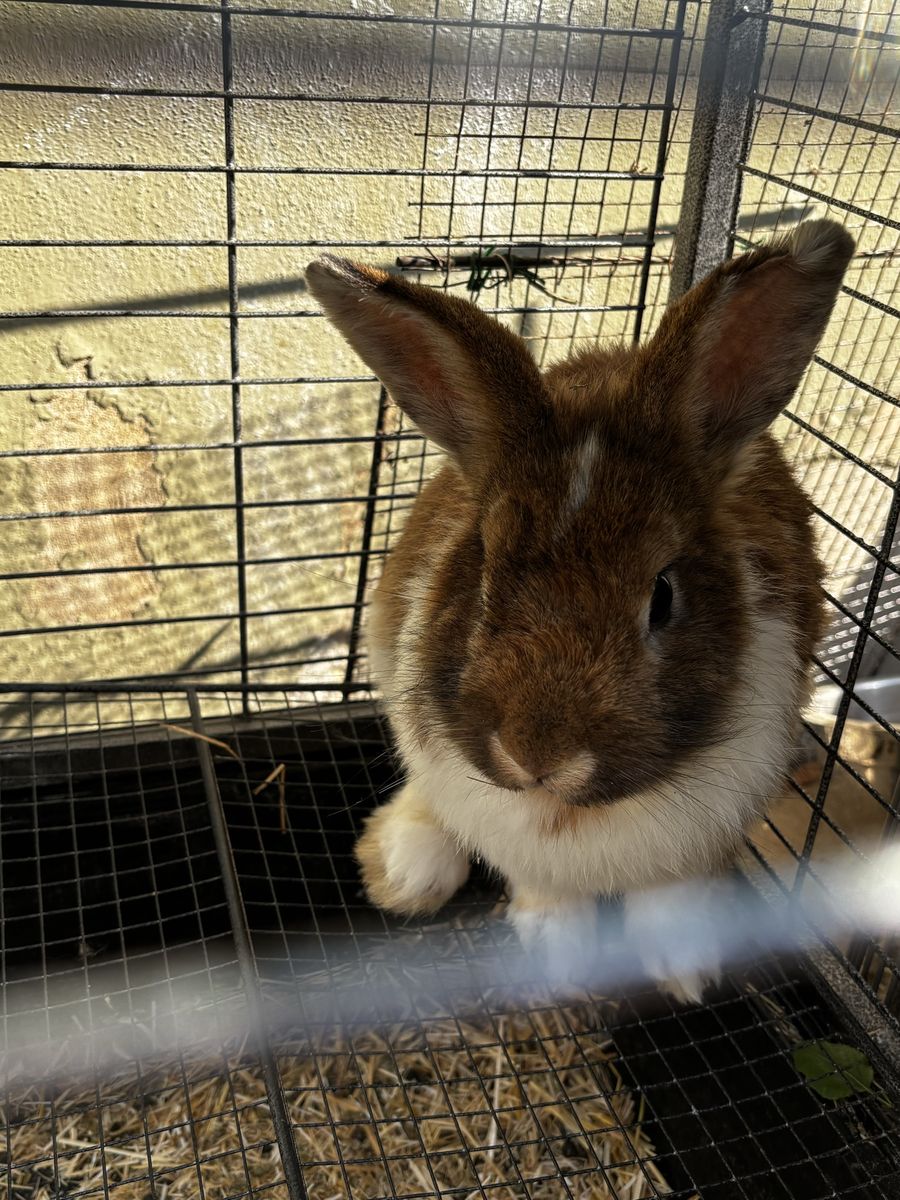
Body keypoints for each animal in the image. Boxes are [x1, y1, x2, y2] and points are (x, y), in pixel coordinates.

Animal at [305, 219, 855, 1002]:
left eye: (663, 596)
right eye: (482, 574)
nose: (537, 755)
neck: (563, 812)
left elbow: (669, 896)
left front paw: (688, 974)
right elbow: (547, 893)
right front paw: (559, 963)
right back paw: (404, 872)